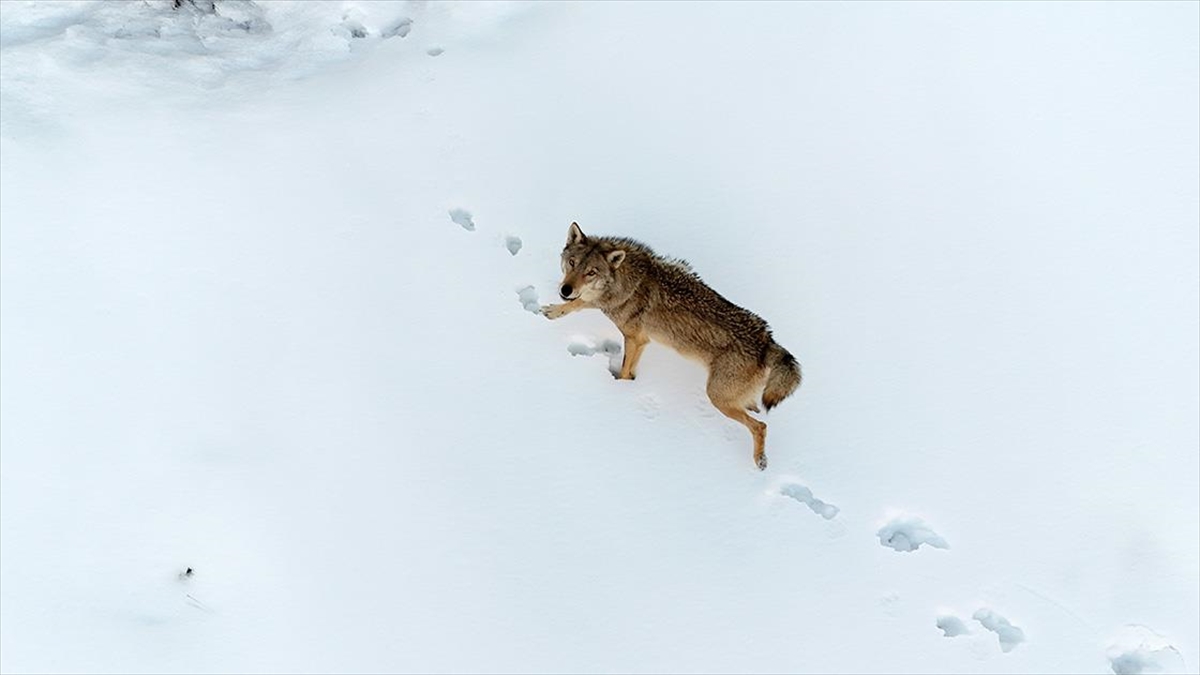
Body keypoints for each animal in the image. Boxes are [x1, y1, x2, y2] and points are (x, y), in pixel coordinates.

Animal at [542, 220, 801, 468]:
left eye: (591, 273)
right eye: (572, 263)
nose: (565, 289)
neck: (627, 282)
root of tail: (768, 342)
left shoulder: (635, 338)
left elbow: (624, 370)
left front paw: (622, 388)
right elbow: (579, 303)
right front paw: (555, 310)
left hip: (717, 398)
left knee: (760, 426)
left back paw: (760, 461)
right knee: (754, 408)